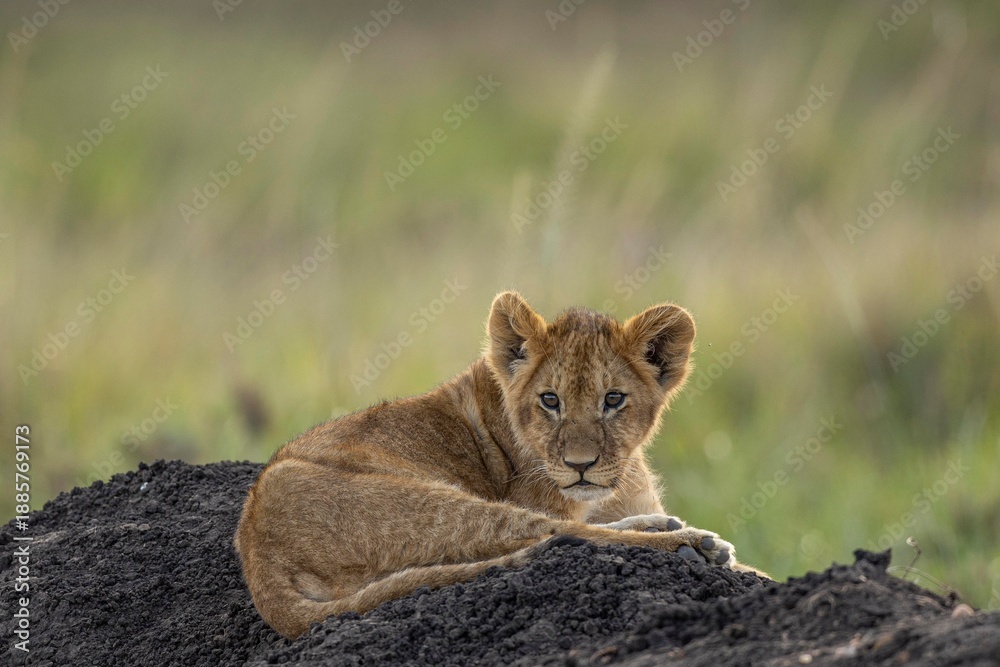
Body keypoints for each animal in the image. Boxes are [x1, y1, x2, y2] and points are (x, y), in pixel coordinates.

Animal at [235, 291, 757, 638]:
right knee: (554, 535)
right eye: (550, 400)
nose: (581, 465)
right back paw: (693, 545)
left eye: (613, 400)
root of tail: (258, 560)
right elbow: (567, 524)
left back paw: (663, 527)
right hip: (430, 506)